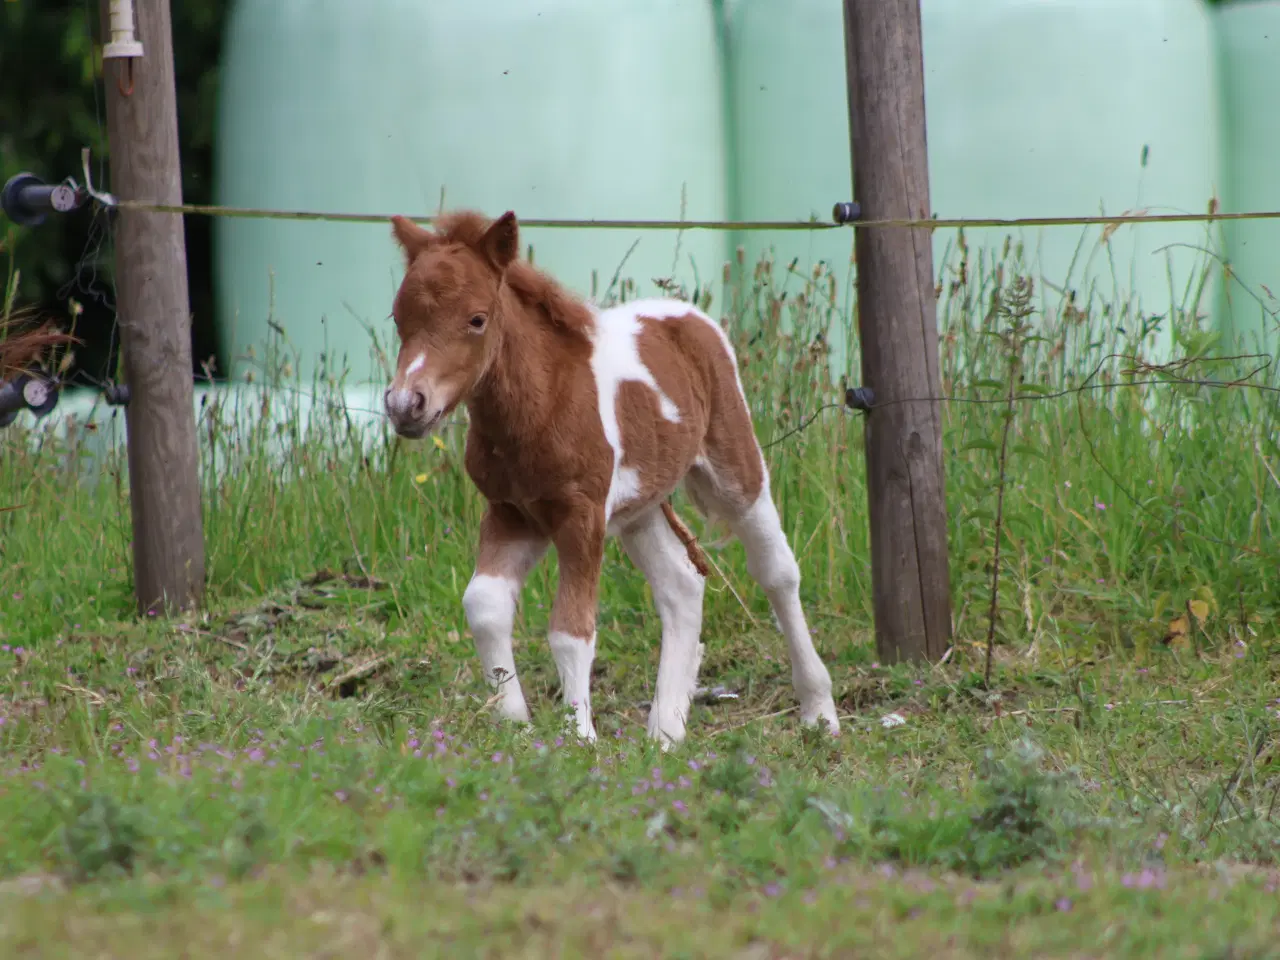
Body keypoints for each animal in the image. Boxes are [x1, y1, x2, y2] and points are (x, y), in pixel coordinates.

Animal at [378, 209, 839, 747]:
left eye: (476, 319)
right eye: (398, 318)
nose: (406, 405)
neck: (543, 402)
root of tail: (686, 314)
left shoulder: (581, 514)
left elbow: (571, 629)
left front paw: (578, 737)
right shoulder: (513, 513)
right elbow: (485, 605)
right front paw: (513, 724)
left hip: (734, 466)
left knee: (777, 572)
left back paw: (819, 711)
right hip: (639, 508)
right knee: (682, 586)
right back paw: (666, 731)